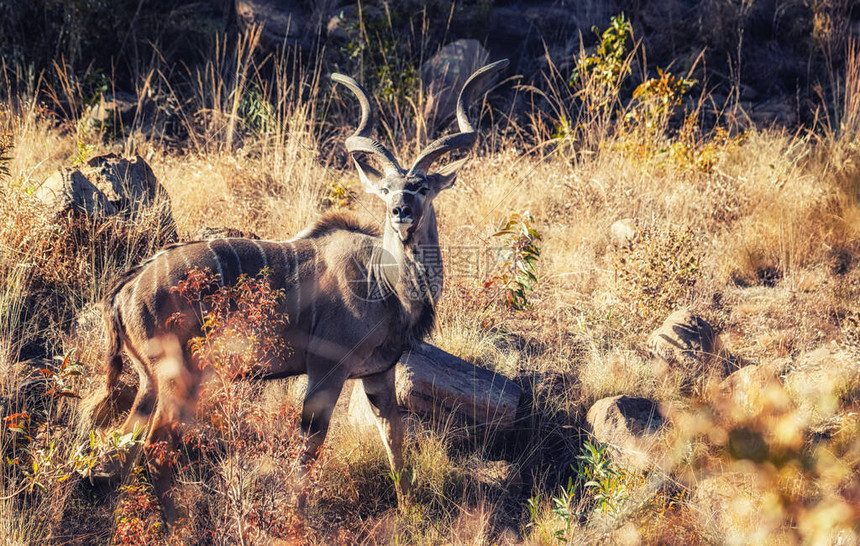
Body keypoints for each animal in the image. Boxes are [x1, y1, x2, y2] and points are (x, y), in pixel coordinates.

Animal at [90, 57, 508, 504]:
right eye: (384, 189)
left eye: (422, 187)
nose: (400, 211)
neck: (385, 283)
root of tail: (126, 287)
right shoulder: (326, 369)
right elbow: (311, 447)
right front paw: (297, 512)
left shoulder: (379, 374)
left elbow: (393, 440)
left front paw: (409, 509)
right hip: (178, 378)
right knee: (155, 446)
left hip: (150, 381)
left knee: (126, 441)